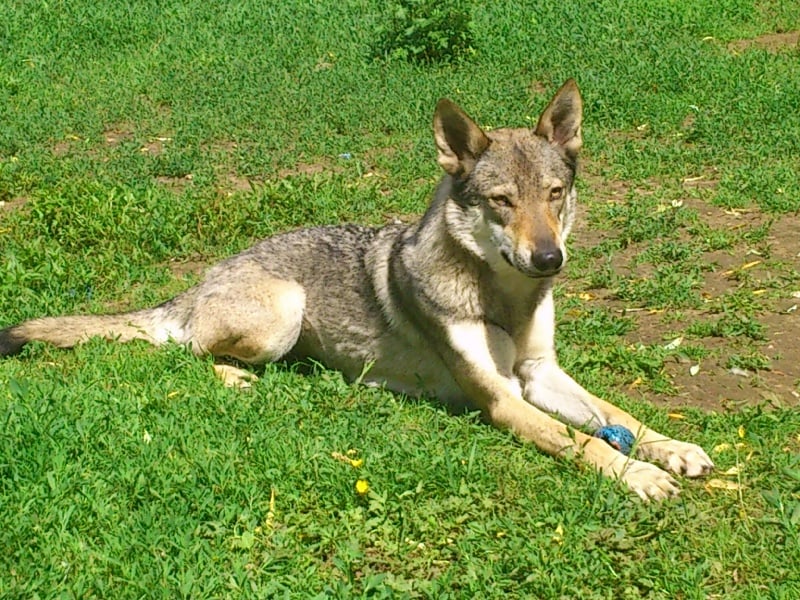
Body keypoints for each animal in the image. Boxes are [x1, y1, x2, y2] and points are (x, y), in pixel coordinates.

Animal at [0, 81, 712, 502]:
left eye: (555, 195)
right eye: (501, 202)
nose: (548, 258)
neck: (503, 296)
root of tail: (197, 284)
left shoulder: (541, 373)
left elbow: (621, 418)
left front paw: (671, 450)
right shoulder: (502, 400)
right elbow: (585, 444)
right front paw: (641, 475)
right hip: (284, 311)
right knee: (190, 353)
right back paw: (242, 379)